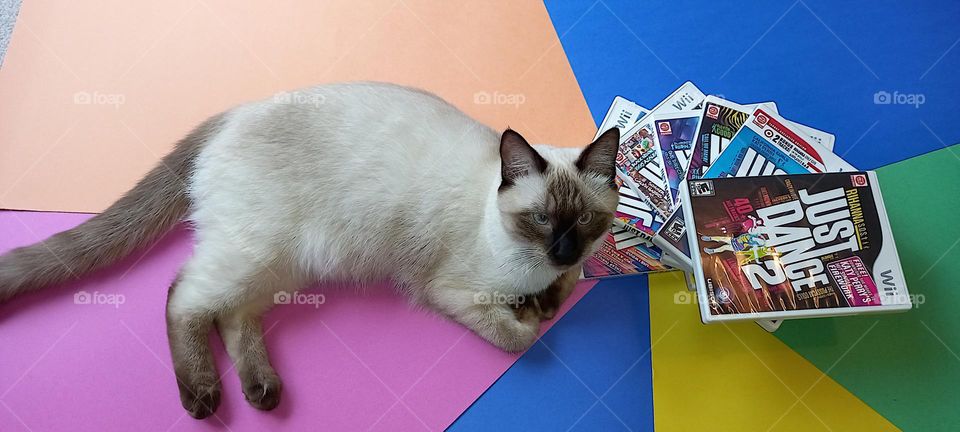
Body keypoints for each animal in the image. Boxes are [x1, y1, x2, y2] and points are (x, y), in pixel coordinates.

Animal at [0, 82, 620, 418]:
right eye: (540, 220)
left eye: (587, 222)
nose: (563, 250)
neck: (530, 266)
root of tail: (232, 114)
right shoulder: (451, 292)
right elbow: (520, 339)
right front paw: (531, 316)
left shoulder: (569, 269)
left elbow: (564, 291)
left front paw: (546, 300)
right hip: (258, 251)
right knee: (183, 297)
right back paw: (204, 398)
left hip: (284, 263)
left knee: (231, 315)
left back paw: (262, 392)